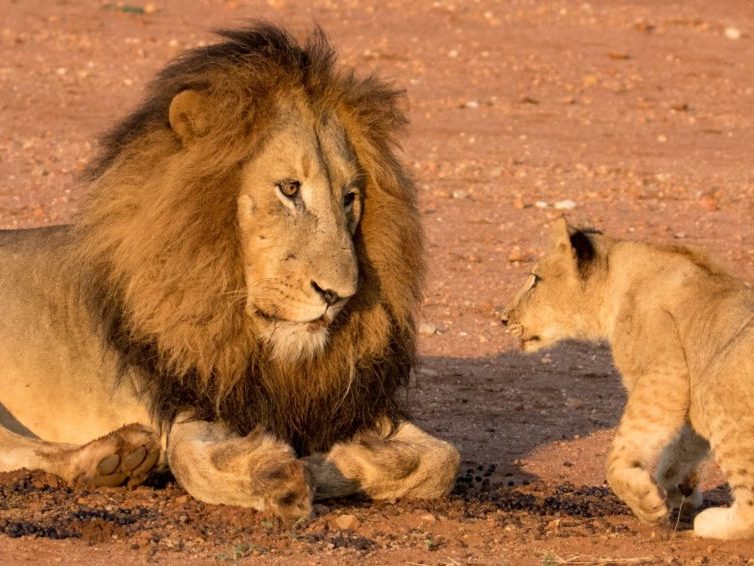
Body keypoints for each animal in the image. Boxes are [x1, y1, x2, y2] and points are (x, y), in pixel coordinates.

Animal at [0, 23, 459, 520]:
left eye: (349, 197)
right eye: (289, 188)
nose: (339, 294)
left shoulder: (348, 404)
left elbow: (443, 461)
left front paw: (327, 463)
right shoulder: (192, 398)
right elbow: (191, 461)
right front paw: (278, 476)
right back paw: (114, 457)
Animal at [502, 217, 754, 539]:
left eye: (535, 279)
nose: (503, 318)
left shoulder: (663, 375)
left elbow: (619, 455)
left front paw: (647, 504)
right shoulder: (687, 392)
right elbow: (682, 447)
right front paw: (676, 488)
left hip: (720, 387)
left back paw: (710, 523)